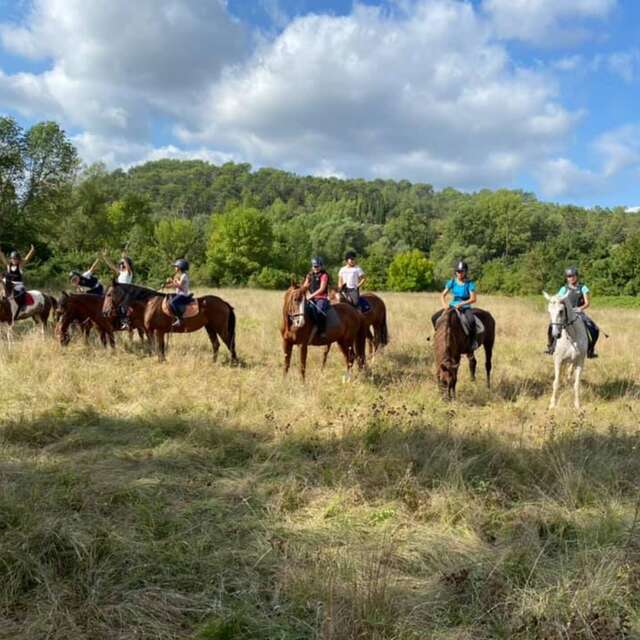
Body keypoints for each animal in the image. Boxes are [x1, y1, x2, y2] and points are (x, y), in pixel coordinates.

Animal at [103, 281, 237, 363]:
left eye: (109, 294)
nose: (104, 312)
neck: (149, 304)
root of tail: (223, 302)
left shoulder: (158, 331)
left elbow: (159, 346)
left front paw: (161, 361)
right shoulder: (154, 332)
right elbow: (158, 347)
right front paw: (161, 360)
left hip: (220, 328)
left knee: (229, 343)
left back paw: (234, 362)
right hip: (210, 327)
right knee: (216, 344)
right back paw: (214, 362)